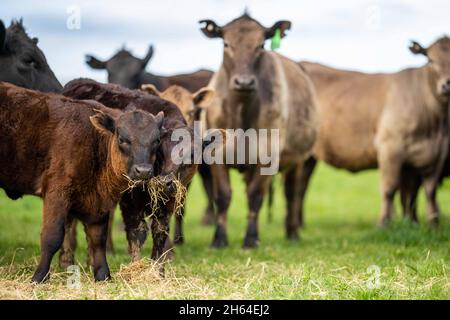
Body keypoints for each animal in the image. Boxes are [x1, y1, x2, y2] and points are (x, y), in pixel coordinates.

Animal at [0, 81, 164, 282]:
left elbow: (98, 239)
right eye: (122, 139)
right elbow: (52, 236)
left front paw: (103, 275)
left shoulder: (98, 203)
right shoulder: (57, 192)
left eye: (156, 140)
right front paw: (39, 277)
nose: (143, 171)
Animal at [298, 36, 450, 228]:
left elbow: (430, 191)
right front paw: (384, 223)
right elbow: (389, 189)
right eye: (430, 60)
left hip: (310, 157)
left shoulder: (438, 153)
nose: (447, 84)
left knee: (302, 184)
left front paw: (432, 224)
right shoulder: (390, 148)